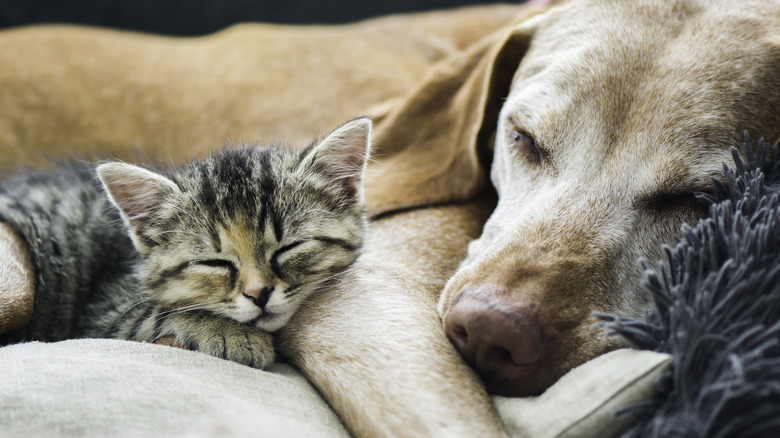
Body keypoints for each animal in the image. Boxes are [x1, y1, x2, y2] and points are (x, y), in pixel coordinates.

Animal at [0, 118, 372, 368]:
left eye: (288, 249)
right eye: (214, 263)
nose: (259, 294)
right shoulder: (105, 314)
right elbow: (160, 313)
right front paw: (233, 334)